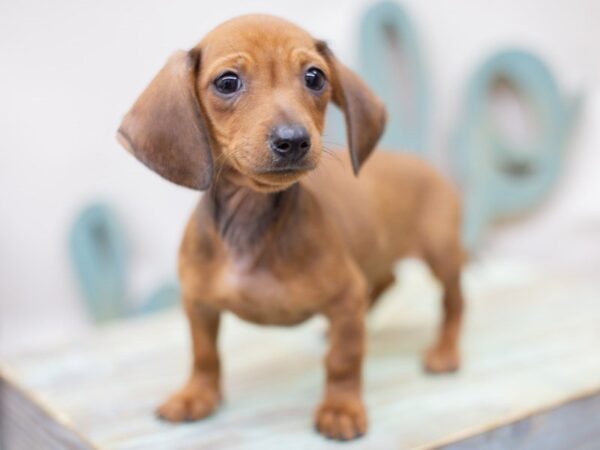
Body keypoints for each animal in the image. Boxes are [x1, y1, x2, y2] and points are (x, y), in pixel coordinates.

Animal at [117, 14, 464, 442]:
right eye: (227, 82)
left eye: (315, 77)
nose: (294, 140)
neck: (251, 223)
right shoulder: (198, 303)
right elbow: (204, 354)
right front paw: (196, 394)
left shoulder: (346, 296)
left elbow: (344, 359)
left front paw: (341, 407)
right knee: (386, 282)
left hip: (441, 253)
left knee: (453, 302)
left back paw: (445, 351)